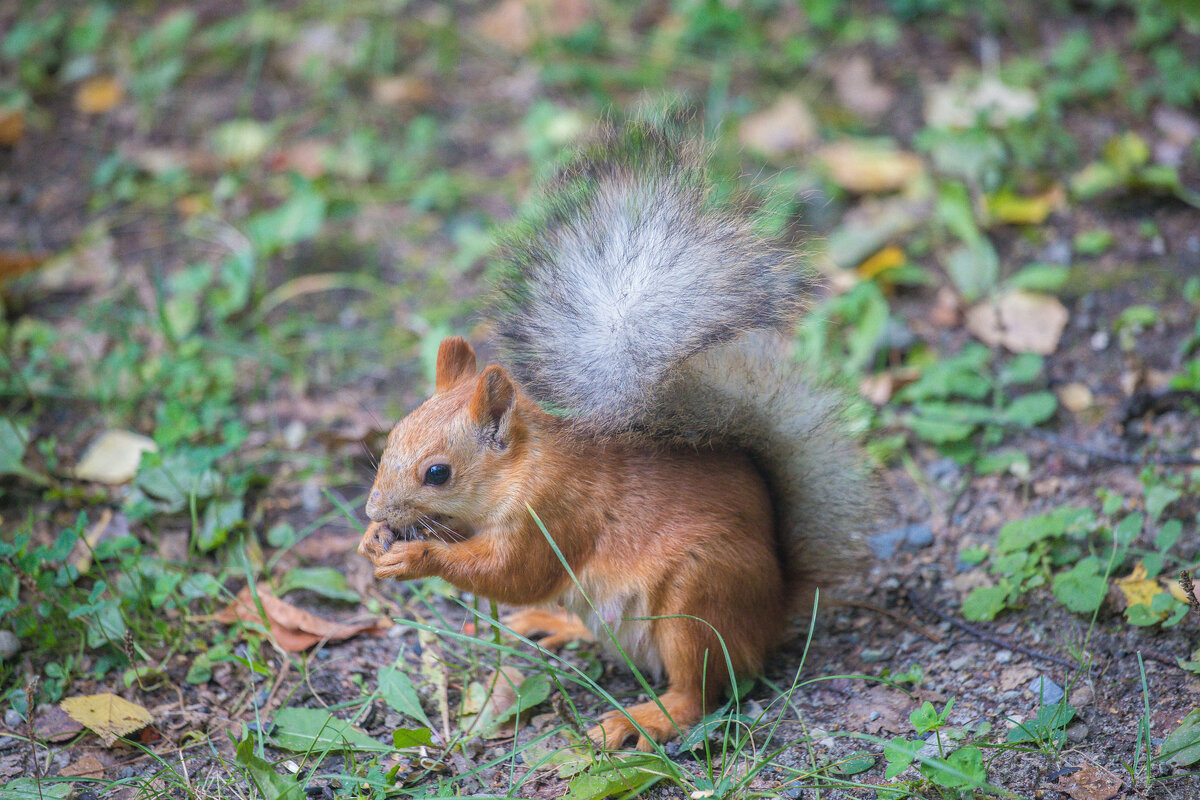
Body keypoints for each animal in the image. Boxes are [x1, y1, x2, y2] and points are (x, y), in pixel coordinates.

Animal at [352, 115, 873, 753]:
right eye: (392, 437)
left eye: (437, 473)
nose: (374, 510)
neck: (522, 465)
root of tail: (773, 607)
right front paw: (373, 541)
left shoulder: (555, 511)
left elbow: (515, 574)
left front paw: (415, 555)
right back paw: (553, 624)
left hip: (697, 599)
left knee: (699, 694)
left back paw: (640, 719)